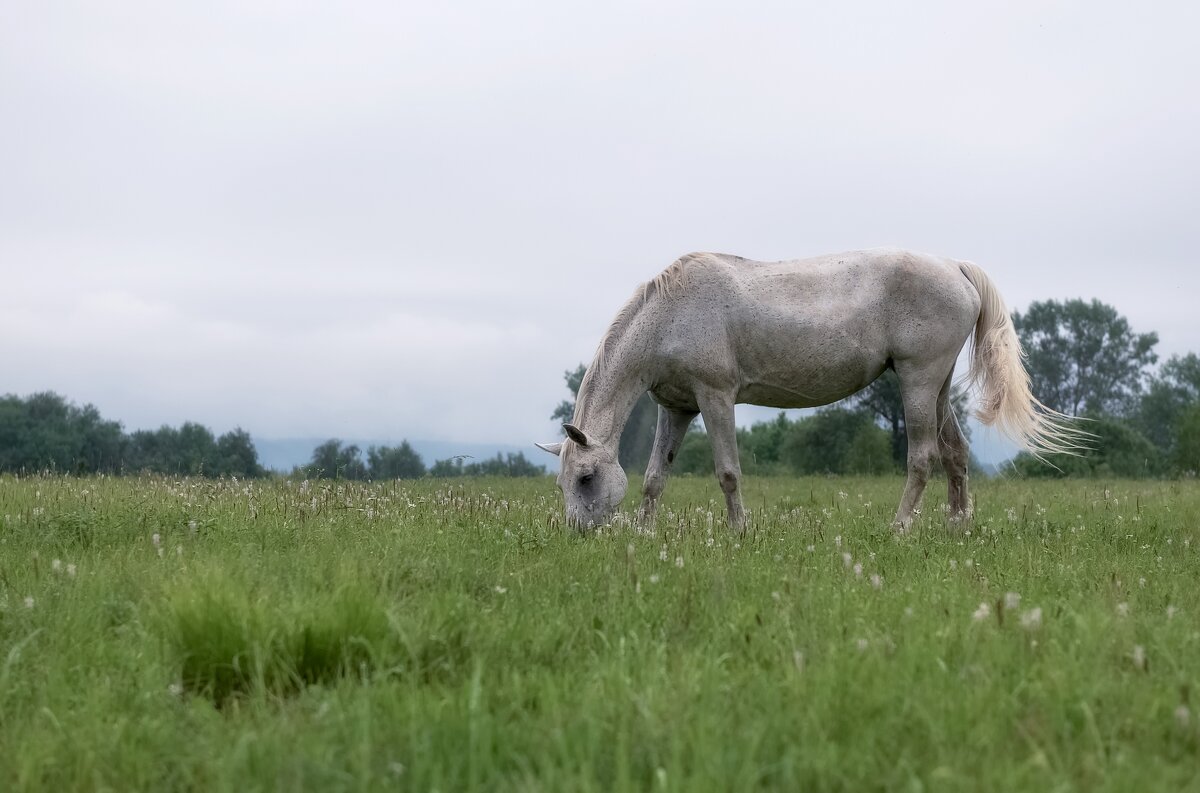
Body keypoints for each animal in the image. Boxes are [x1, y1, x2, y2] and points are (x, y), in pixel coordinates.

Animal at [540, 247, 1084, 532]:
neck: (670, 313)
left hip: (919, 379)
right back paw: (957, 528)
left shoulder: (715, 397)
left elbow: (728, 472)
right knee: (955, 453)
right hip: (939, 387)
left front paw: (739, 532)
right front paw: (646, 532)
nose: (579, 534)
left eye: (585, 478)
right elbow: (655, 477)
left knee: (924, 457)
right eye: (563, 482)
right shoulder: (676, 408)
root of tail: (955, 267)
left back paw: (899, 529)